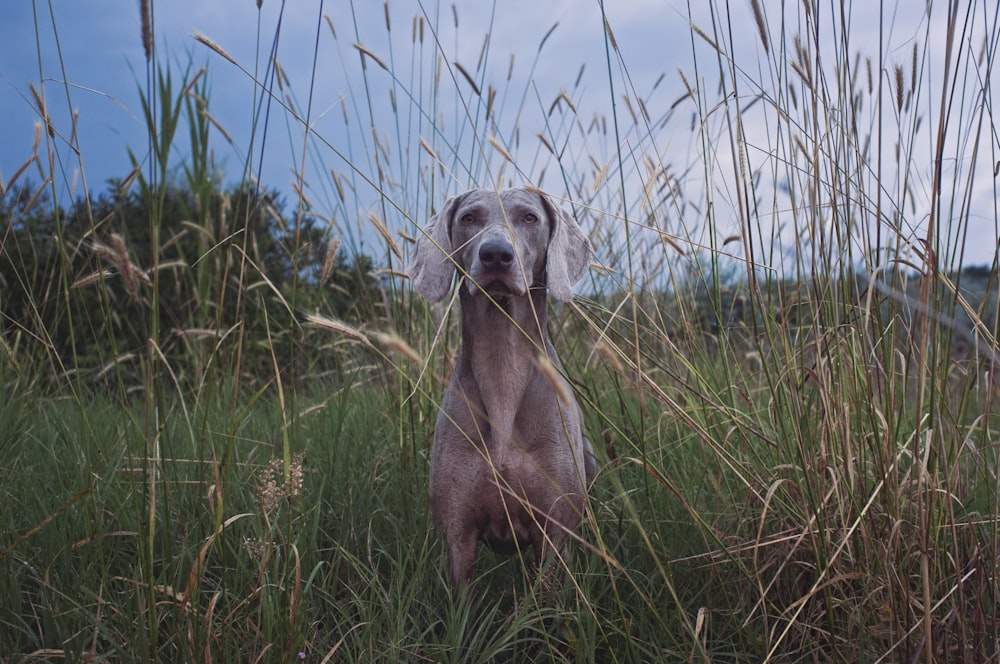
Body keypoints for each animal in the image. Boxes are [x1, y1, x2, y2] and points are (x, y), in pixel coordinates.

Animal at [410, 187, 596, 592]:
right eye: (468, 218)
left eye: (529, 217)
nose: (496, 254)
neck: (503, 374)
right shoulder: (457, 533)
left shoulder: (554, 531)